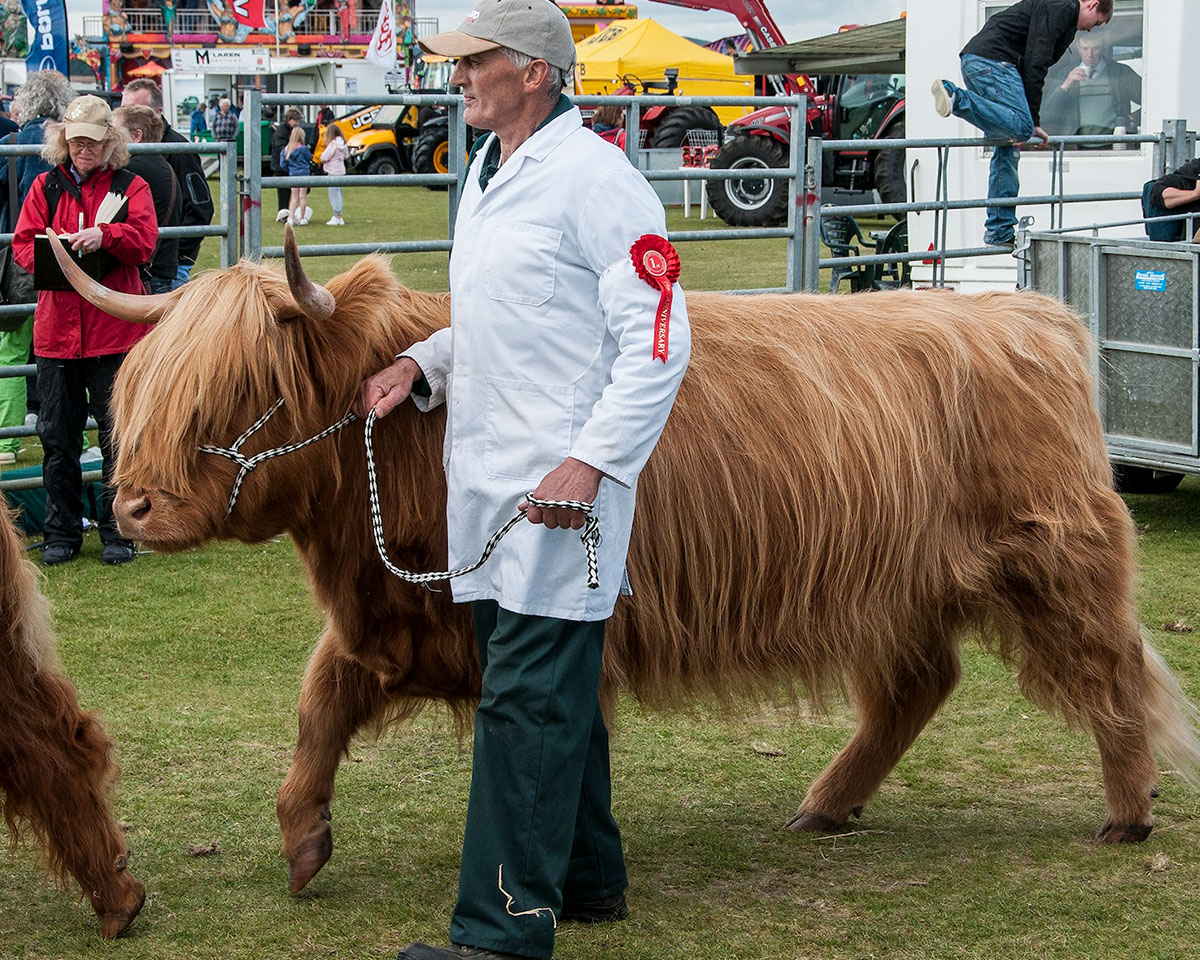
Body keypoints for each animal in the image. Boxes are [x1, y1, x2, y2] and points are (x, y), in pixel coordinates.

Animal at [44, 226, 1200, 902]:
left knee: (1112, 671)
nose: (130, 504)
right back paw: (827, 803)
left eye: (243, 392)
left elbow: (539, 736)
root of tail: (1028, 313)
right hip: (897, 587)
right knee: (920, 686)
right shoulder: (393, 615)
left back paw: (1127, 811)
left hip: (1051, 557)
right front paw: (302, 841)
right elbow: (318, 705)